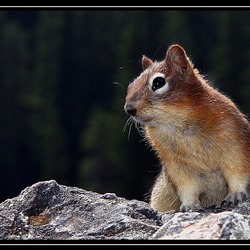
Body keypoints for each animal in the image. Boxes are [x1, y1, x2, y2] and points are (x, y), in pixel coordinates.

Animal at [124, 44, 250, 212]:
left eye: (158, 83)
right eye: (131, 85)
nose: (129, 108)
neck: (179, 123)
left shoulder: (235, 146)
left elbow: (238, 173)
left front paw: (235, 195)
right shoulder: (176, 165)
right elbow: (187, 187)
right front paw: (190, 206)